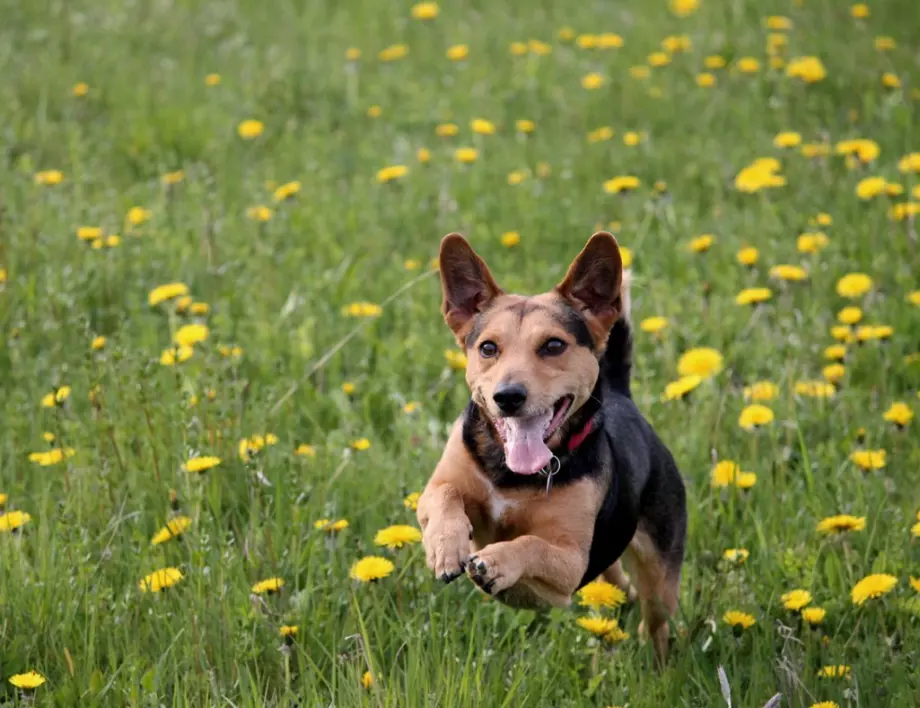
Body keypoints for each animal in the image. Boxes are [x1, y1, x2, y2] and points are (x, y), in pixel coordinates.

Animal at [416, 230, 684, 660]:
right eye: (488, 348)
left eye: (554, 346)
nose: (508, 396)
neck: (512, 474)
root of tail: (621, 396)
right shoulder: (438, 486)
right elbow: (444, 496)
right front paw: (446, 546)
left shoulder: (571, 564)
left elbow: (530, 545)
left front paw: (496, 562)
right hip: (610, 562)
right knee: (620, 585)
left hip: (660, 575)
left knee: (655, 620)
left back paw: (656, 662)